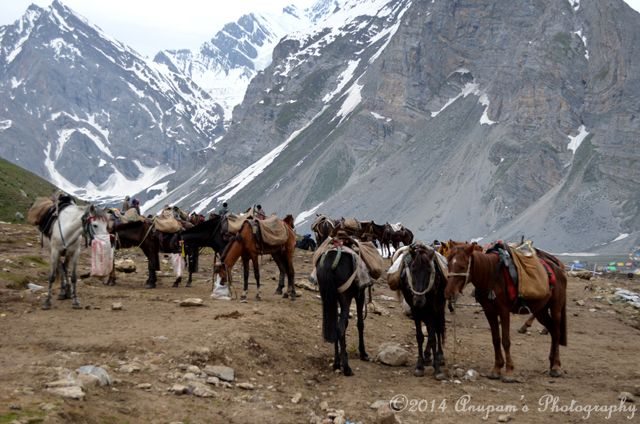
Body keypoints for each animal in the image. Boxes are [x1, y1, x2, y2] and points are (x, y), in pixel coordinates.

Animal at [316, 239, 370, 376]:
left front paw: (340, 358)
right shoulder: (360, 295)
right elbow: (360, 324)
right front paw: (363, 353)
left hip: (328, 297)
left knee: (335, 326)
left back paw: (336, 363)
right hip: (345, 298)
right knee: (340, 328)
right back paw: (346, 368)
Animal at [396, 243, 447, 379]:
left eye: (429, 270)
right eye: (413, 269)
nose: (419, 300)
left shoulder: (433, 310)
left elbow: (433, 336)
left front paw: (437, 369)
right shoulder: (416, 311)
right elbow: (420, 336)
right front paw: (419, 365)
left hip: (440, 307)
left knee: (438, 329)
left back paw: (439, 356)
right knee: (430, 329)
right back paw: (427, 356)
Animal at [445, 243, 567, 380]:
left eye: (462, 266)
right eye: (448, 264)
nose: (448, 293)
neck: (491, 275)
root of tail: (559, 269)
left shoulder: (504, 311)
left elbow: (506, 341)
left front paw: (509, 371)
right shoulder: (489, 312)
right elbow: (496, 339)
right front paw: (496, 368)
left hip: (556, 308)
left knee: (556, 332)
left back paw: (556, 367)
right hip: (541, 310)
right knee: (552, 330)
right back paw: (552, 363)